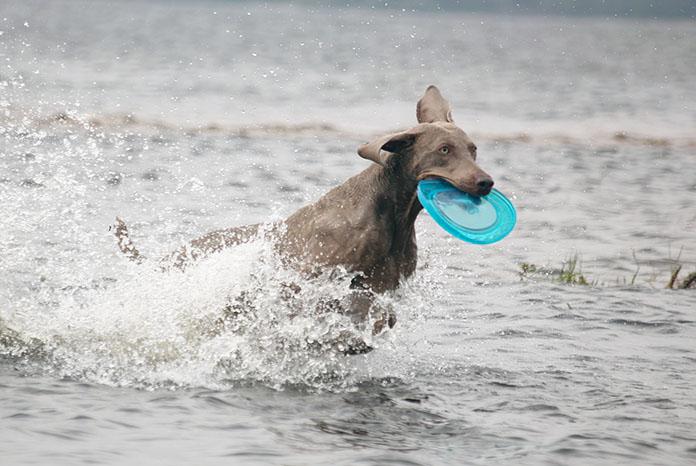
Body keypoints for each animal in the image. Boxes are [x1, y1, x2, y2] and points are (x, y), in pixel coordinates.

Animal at [114, 85, 492, 352]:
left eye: (473, 149)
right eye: (444, 150)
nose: (486, 182)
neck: (395, 214)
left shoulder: (382, 287)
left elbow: (382, 316)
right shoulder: (305, 276)